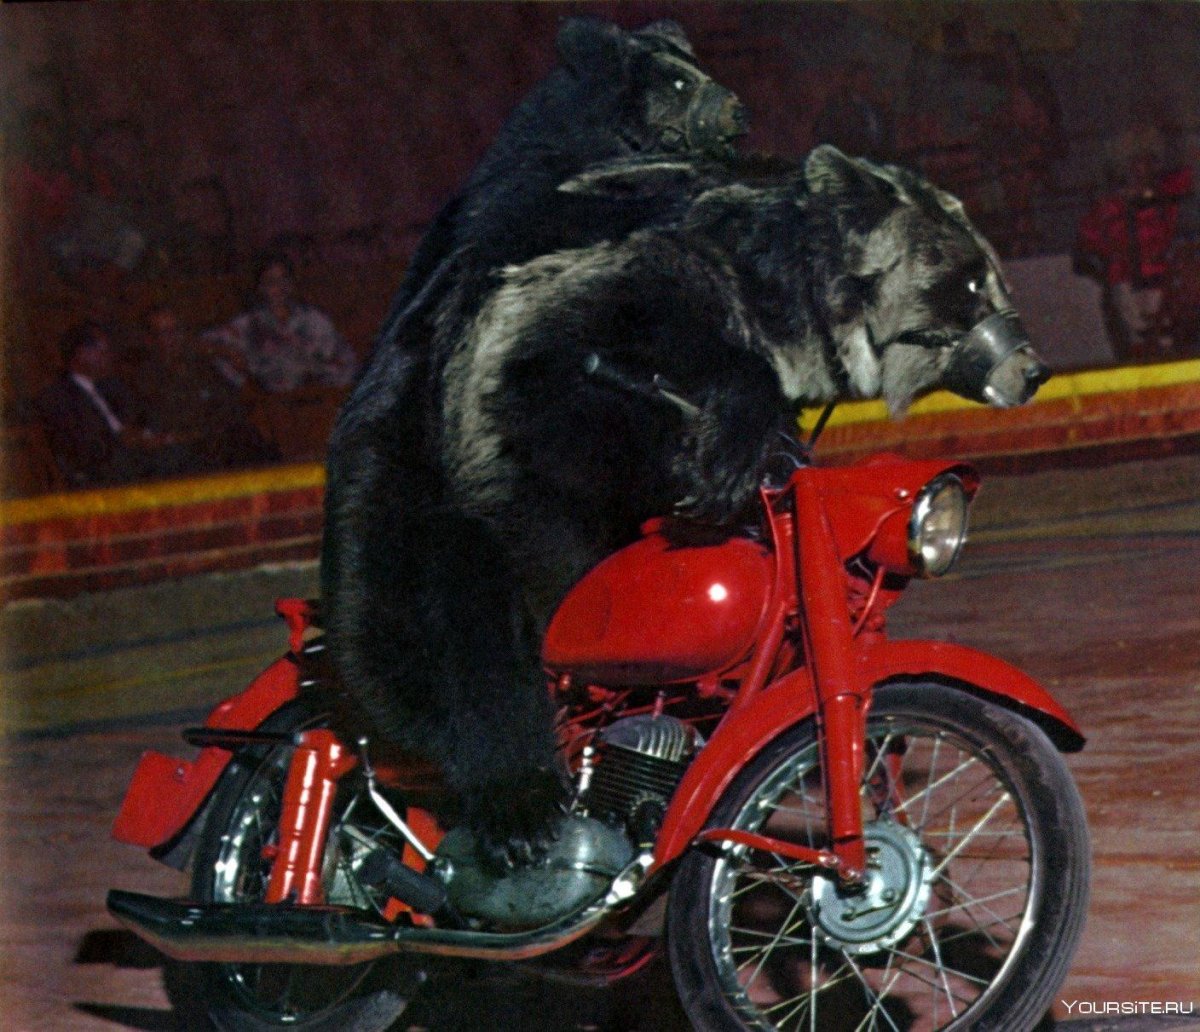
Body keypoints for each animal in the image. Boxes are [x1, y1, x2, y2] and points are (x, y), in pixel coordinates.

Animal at [320, 145, 1048, 867]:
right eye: (971, 282)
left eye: (996, 278)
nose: (1033, 369)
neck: (778, 305)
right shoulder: (567, 319)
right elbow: (568, 378)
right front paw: (732, 450)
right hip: (403, 469)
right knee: (437, 621)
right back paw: (513, 797)